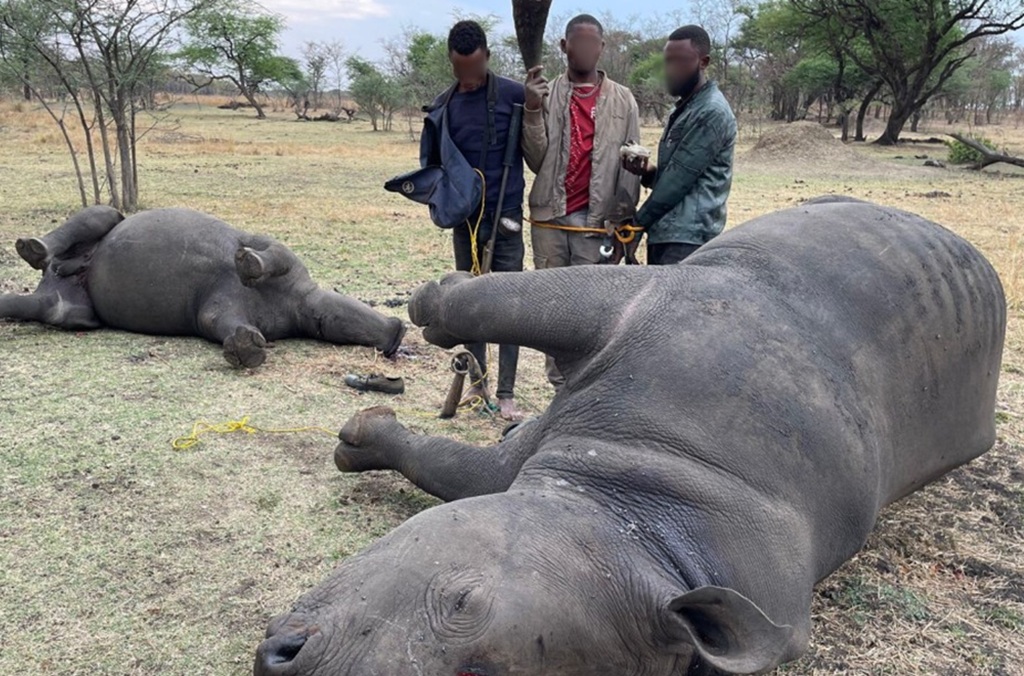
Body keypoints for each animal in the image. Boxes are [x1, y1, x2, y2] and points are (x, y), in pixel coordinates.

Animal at [0, 206, 405, 367]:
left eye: (325, 323)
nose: (395, 333)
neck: (293, 304)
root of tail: (58, 274)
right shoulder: (275, 253)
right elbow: (266, 253)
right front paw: (248, 264)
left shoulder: (217, 313)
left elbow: (228, 325)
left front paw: (245, 346)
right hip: (103, 221)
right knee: (87, 221)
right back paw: (33, 248)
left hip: (67, 308)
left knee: (44, 304)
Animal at [252, 197, 1005, 674]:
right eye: (462, 599)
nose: (282, 661)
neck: (642, 515)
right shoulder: (663, 309)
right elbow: (504, 319)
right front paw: (430, 309)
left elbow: (456, 466)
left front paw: (360, 432)